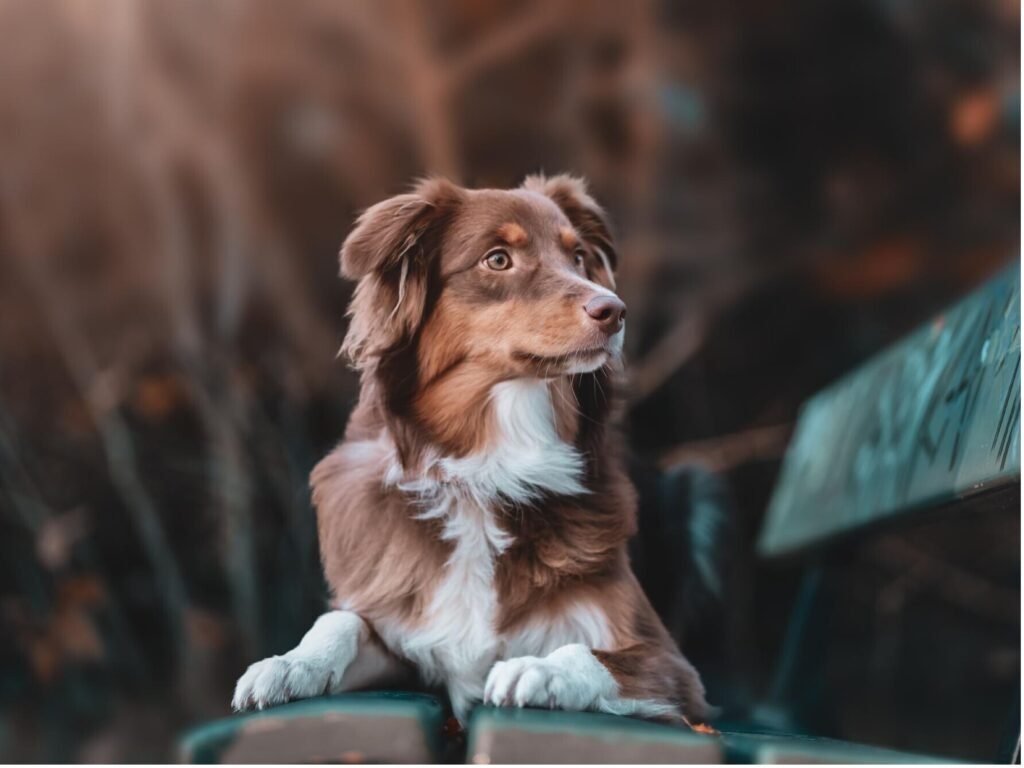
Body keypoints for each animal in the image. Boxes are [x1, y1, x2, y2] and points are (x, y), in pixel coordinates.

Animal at [232, 174, 712, 729]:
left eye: (577, 257)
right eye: (498, 259)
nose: (613, 310)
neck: (489, 471)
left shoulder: (675, 669)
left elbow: (586, 654)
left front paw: (538, 669)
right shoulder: (409, 646)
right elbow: (342, 621)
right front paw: (288, 664)